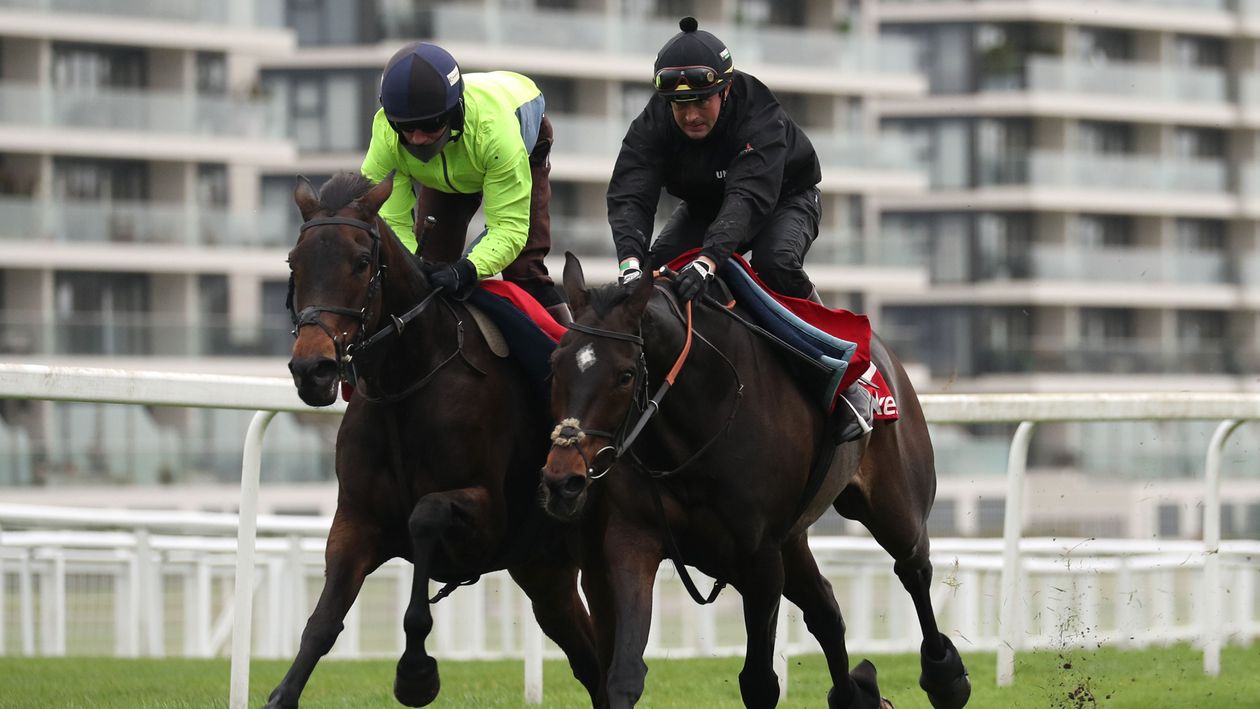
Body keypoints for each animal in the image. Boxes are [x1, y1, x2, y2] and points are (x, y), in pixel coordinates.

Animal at [264, 173, 599, 709]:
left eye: (361, 262)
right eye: (294, 263)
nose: (312, 369)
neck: (407, 383)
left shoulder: (490, 518)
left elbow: (424, 518)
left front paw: (416, 672)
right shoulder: (355, 519)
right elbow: (322, 622)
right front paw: (282, 692)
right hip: (543, 571)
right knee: (590, 660)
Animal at [536, 254, 967, 709]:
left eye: (624, 375)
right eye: (554, 366)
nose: (562, 481)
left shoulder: (760, 557)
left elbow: (759, 682)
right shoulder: (633, 538)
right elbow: (623, 674)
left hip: (893, 507)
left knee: (913, 569)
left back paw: (945, 678)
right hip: (793, 540)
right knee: (827, 612)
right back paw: (858, 694)